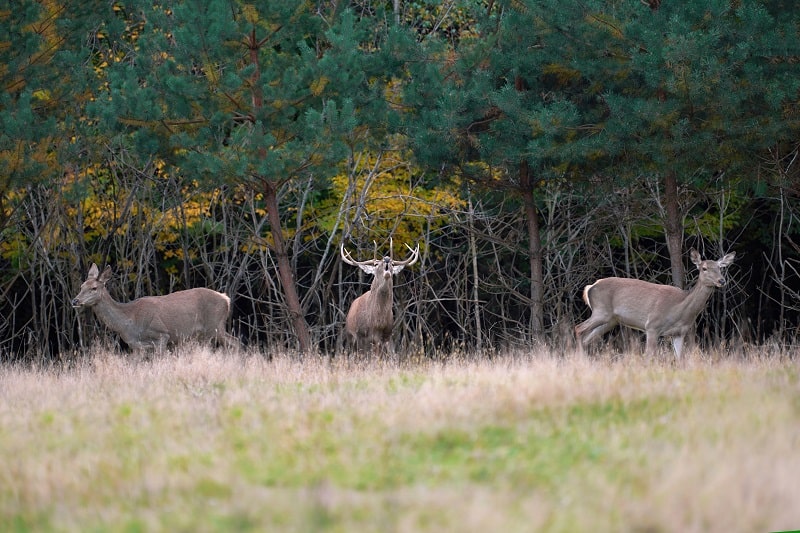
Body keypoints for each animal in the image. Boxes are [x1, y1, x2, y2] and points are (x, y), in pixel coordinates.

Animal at [72, 264, 238, 352]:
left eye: (94, 288)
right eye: (81, 286)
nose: (75, 300)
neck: (128, 322)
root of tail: (226, 299)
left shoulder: (162, 334)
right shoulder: (136, 347)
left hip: (214, 326)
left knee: (235, 342)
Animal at [576, 249, 736, 358]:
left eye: (720, 268)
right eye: (704, 268)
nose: (722, 280)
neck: (680, 309)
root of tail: (590, 287)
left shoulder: (679, 333)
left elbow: (680, 360)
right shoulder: (652, 326)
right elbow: (649, 356)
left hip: (610, 320)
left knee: (587, 338)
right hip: (601, 311)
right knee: (579, 329)